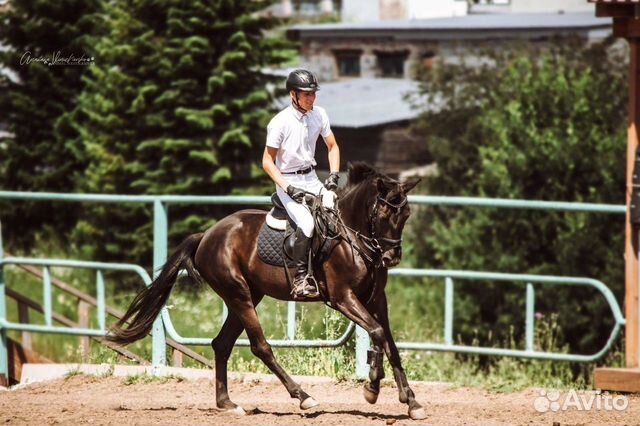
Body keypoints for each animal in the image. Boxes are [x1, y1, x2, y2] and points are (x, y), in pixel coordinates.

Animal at [106, 162, 424, 420]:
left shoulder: (376, 299)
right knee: (260, 347)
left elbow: (389, 342)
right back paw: (303, 397)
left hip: (246, 297)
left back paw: (228, 403)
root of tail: (207, 234)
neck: (352, 238)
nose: (392, 257)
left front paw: (411, 401)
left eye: (406, 214)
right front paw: (372, 387)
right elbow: (378, 333)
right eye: (384, 212)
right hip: (239, 296)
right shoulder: (343, 298)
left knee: (221, 344)